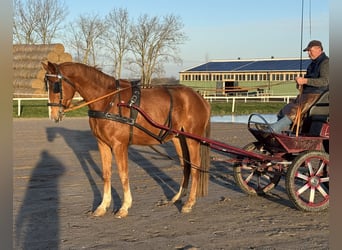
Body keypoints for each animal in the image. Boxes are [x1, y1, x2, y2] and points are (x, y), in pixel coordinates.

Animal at [42, 61, 211, 218]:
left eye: (56, 85)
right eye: (46, 85)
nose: (53, 115)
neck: (108, 100)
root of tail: (200, 97)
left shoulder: (119, 145)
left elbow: (123, 174)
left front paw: (124, 207)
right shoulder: (102, 144)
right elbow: (106, 174)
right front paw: (102, 206)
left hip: (192, 139)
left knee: (195, 167)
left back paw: (189, 203)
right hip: (178, 138)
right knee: (186, 166)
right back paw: (177, 197)